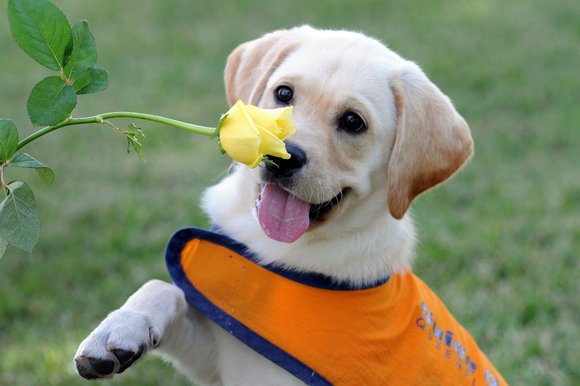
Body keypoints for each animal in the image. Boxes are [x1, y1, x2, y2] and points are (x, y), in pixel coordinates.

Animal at [75, 25, 506, 384]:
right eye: (284, 93)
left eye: (354, 122)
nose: (282, 158)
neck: (279, 252)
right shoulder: (222, 353)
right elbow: (163, 288)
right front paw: (118, 330)